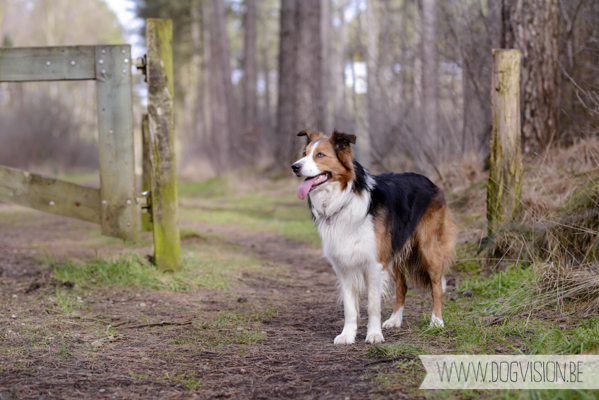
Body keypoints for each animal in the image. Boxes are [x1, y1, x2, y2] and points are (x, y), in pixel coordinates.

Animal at [292, 129, 458, 344]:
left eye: (320, 155)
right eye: (304, 153)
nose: (294, 167)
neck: (344, 198)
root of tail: (431, 182)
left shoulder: (374, 263)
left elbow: (373, 305)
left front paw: (374, 335)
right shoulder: (343, 265)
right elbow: (349, 307)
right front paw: (347, 335)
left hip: (428, 249)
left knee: (437, 287)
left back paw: (436, 322)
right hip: (394, 253)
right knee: (402, 287)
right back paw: (395, 320)